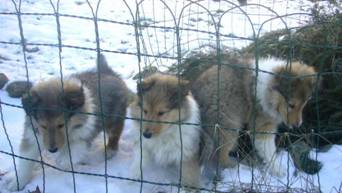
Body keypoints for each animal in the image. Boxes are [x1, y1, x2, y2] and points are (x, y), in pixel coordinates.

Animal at [4, 54, 128, 191]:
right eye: (43, 126)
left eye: (61, 125)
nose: (52, 150)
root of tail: (107, 71)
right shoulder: (32, 136)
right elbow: (26, 161)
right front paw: (16, 183)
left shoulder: (84, 133)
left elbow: (74, 148)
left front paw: (62, 159)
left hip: (114, 118)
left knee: (115, 134)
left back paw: (109, 151)